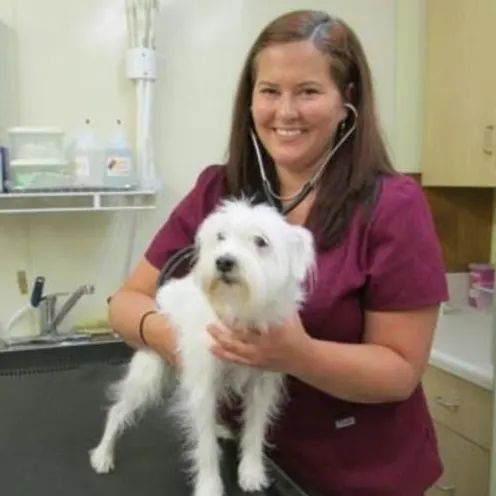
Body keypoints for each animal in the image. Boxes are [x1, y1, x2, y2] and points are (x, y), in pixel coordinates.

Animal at [88, 199, 314, 496]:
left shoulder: (262, 384)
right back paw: (103, 453)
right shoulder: (203, 385)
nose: (224, 261)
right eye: (221, 237)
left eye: (261, 241)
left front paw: (251, 471)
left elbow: (255, 429)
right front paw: (209, 486)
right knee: (117, 411)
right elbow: (204, 446)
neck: (239, 309)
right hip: (149, 375)